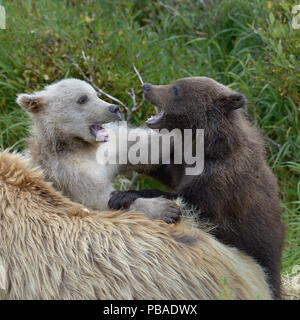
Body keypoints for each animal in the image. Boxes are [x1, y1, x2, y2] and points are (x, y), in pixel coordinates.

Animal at [108, 76, 286, 298]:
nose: (146, 87)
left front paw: (122, 194)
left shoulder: (221, 182)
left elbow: (195, 204)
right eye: (173, 83)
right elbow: (166, 170)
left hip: (261, 246)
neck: (206, 148)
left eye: (176, 89)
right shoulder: (183, 164)